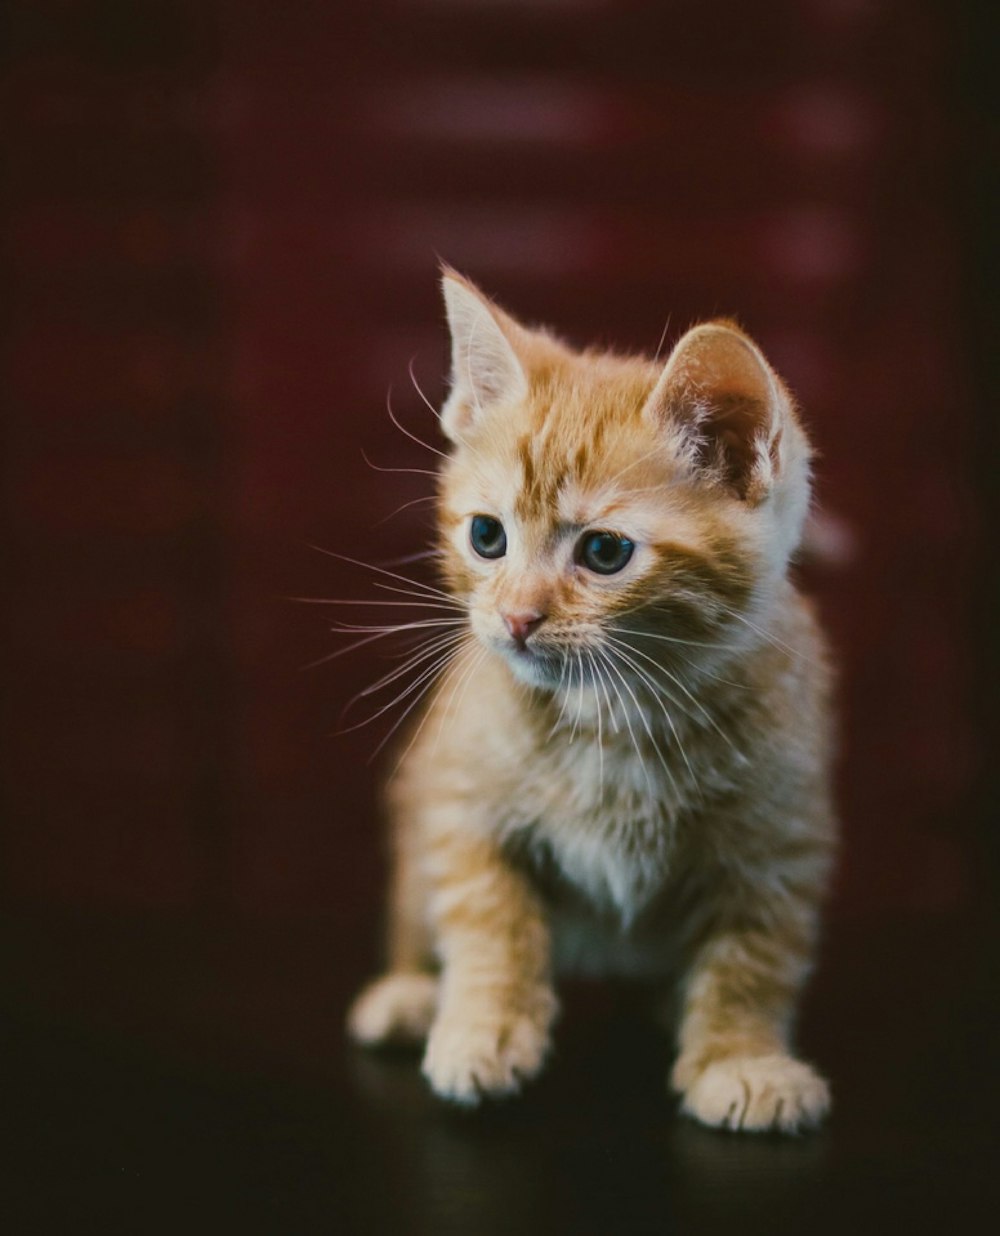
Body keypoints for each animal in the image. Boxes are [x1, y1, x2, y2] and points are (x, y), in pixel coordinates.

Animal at [346, 275, 835, 1132]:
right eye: (487, 537)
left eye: (604, 552)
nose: (515, 618)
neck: (614, 716)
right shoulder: (462, 796)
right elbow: (486, 913)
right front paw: (485, 1024)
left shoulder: (781, 837)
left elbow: (755, 953)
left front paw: (740, 1057)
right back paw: (411, 991)